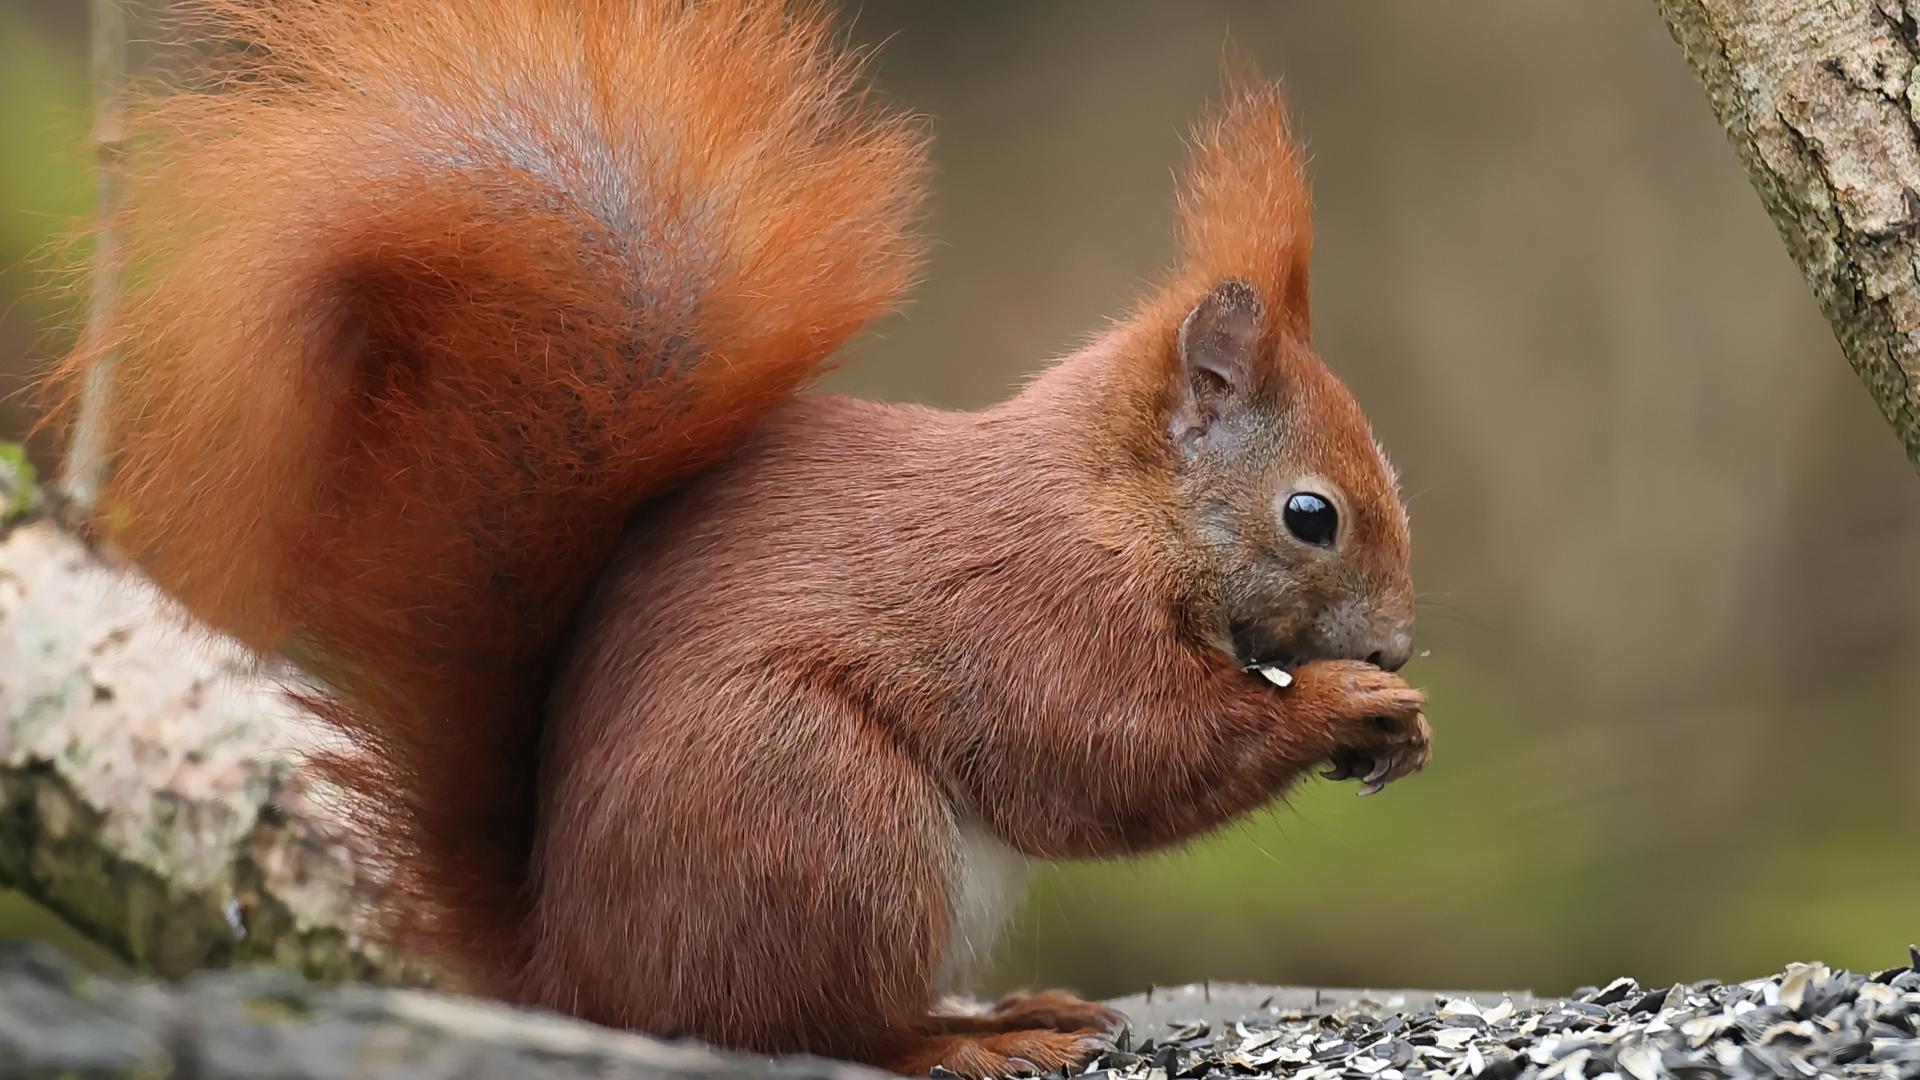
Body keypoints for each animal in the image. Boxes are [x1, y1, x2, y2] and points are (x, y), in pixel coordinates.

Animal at [51, 1, 1430, 1075]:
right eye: (1312, 516)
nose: (1400, 649)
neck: (1113, 505)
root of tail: (579, 979)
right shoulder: (1029, 604)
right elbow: (1110, 755)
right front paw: (1344, 705)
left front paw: (1393, 732)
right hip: (819, 812)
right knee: (810, 1031)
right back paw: (972, 1043)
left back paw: (1001, 1011)